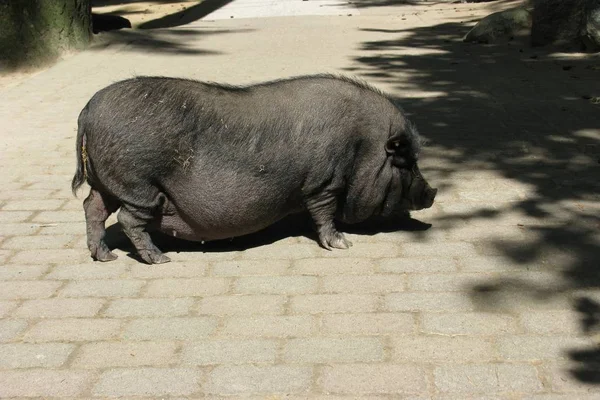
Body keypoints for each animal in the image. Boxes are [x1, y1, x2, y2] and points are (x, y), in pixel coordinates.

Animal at [72, 74, 438, 264]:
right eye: (405, 162)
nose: (433, 192)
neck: (363, 144)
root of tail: (86, 112)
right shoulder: (323, 183)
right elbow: (324, 214)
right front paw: (342, 244)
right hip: (139, 185)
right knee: (127, 219)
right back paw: (160, 259)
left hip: (109, 182)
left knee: (92, 207)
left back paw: (105, 256)